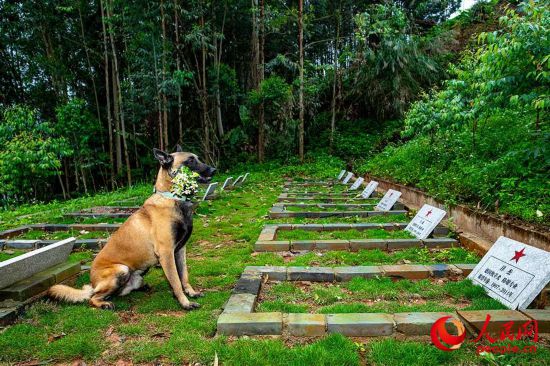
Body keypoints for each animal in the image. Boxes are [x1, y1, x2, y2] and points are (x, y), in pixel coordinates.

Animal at [48, 145, 216, 308]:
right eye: (190, 160)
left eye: (197, 158)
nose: (214, 169)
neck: (172, 198)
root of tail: (93, 284)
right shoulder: (166, 253)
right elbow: (175, 280)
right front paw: (185, 302)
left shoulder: (180, 250)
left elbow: (184, 275)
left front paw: (191, 292)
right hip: (121, 269)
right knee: (92, 298)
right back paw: (104, 303)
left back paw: (141, 287)